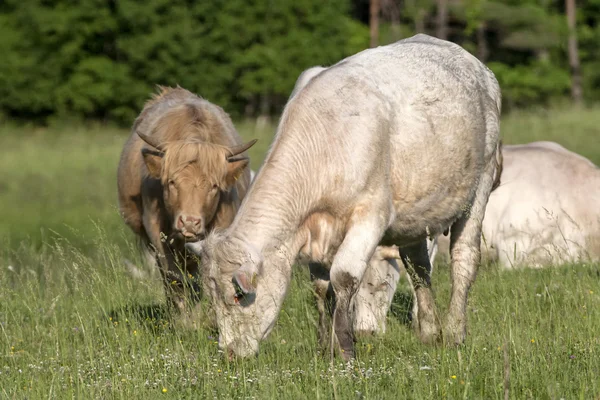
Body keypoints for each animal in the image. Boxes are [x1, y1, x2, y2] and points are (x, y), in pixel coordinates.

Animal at [117, 86, 255, 312]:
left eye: (214, 187)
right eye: (172, 182)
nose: (189, 222)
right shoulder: (155, 231)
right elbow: (174, 277)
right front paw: (183, 315)